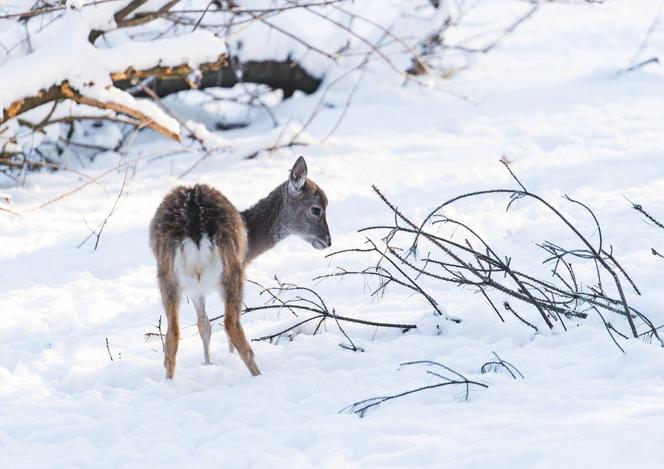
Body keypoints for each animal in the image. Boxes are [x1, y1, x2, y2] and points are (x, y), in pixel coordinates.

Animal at [148, 155, 330, 378]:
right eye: (316, 209)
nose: (328, 241)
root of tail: (194, 223)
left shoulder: (196, 287)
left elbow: (204, 325)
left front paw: (208, 364)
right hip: (232, 270)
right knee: (231, 324)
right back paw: (258, 376)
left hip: (167, 276)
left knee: (173, 332)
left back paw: (169, 381)